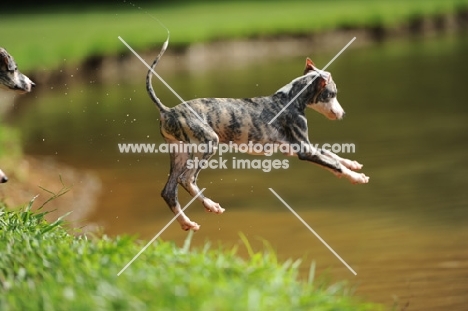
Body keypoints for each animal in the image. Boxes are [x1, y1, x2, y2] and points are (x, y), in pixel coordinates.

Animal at [146, 39, 370, 232]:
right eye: (332, 93)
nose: (342, 114)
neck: (289, 98)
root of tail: (167, 111)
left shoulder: (295, 147)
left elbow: (332, 155)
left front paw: (353, 164)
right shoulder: (304, 150)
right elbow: (335, 165)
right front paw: (357, 177)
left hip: (180, 153)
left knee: (168, 191)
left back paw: (187, 223)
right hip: (208, 143)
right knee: (187, 179)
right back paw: (210, 205)